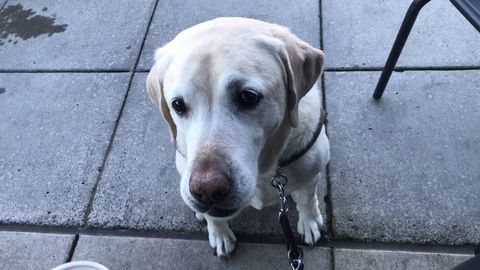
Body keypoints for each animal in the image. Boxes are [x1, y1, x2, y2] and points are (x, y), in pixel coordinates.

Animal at [148, 17, 330, 258]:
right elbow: (214, 218)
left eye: (247, 96)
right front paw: (219, 233)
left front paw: (309, 221)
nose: (207, 190)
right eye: (177, 104)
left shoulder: (311, 172)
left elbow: (308, 199)